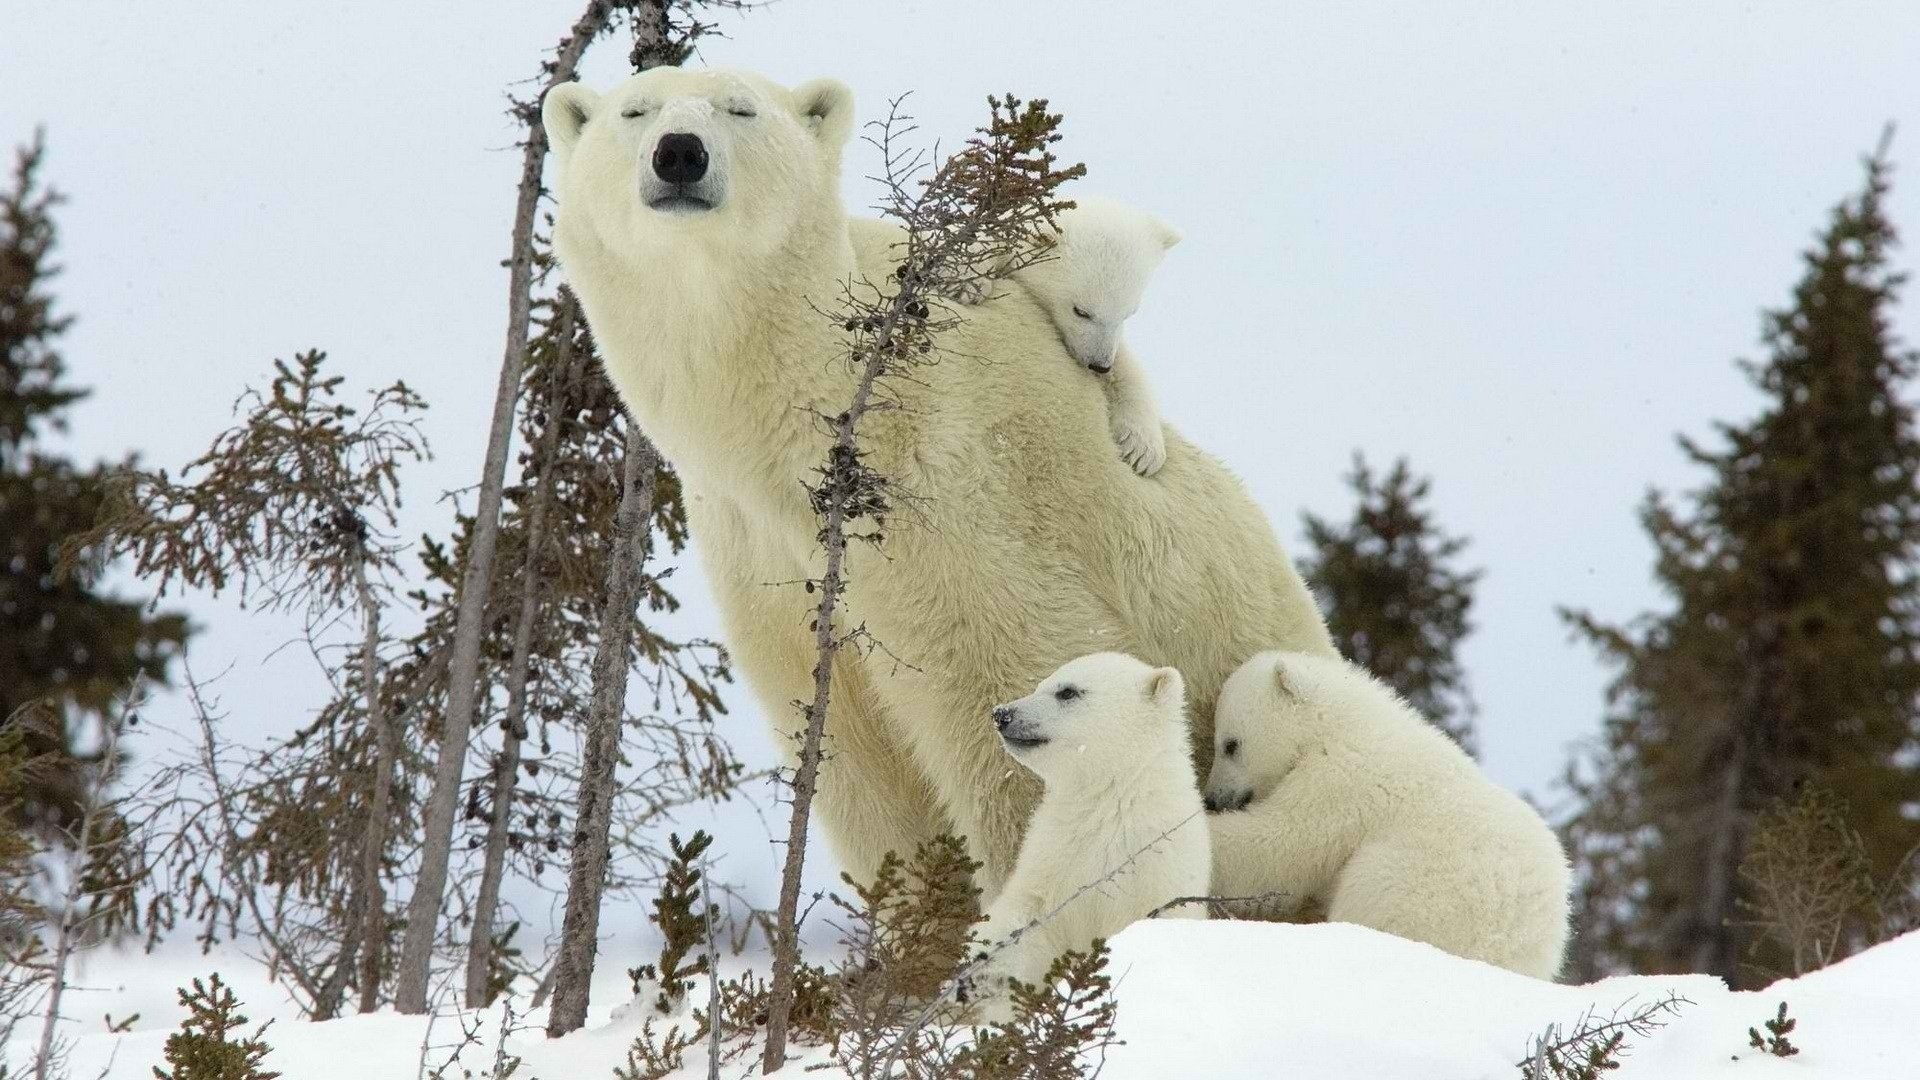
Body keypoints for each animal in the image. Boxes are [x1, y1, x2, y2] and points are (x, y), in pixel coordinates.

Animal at [541, 69, 1336, 891]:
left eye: (741, 108)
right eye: (635, 111)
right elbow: (858, 762)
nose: (679, 153)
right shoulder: (760, 550)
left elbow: (1011, 692)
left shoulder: (951, 492)